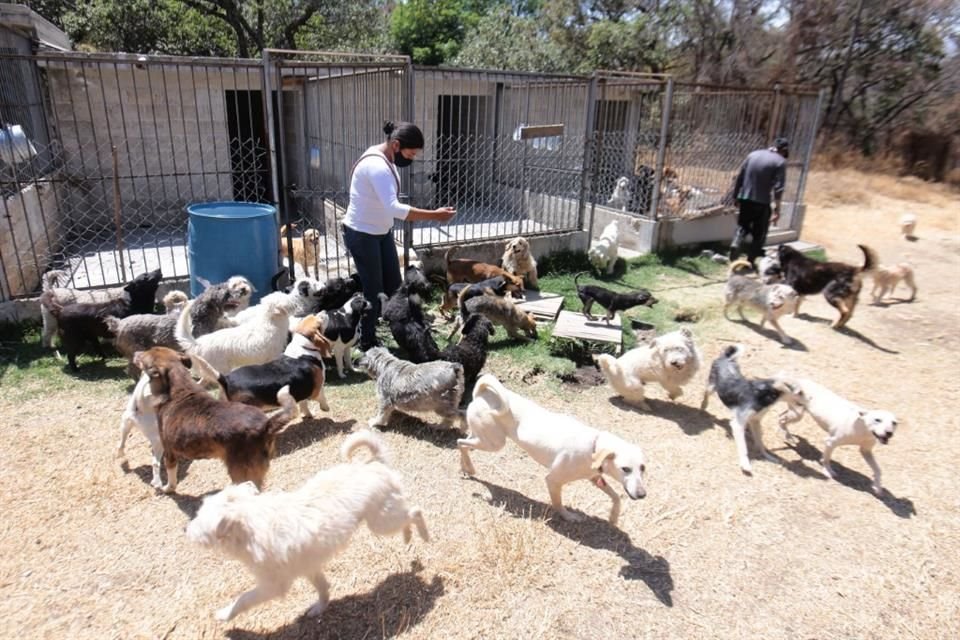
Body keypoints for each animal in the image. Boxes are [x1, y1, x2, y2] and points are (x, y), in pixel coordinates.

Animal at [132, 348, 296, 492]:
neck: (179, 387)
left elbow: (171, 479)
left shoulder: (169, 452)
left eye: (144, 356)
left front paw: (166, 489)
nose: (135, 353)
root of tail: (265, 425)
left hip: (240, 472)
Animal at [188, 430, 428, 620]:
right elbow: (323, 589)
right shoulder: (310, 568)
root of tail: (374, 464)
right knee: (407, 516)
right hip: (384, 519)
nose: (185, 530)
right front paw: (320, 608)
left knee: (416, 511)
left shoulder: (272, 585)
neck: (251, 525)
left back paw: (424, 536)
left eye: (200, 523)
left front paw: (224, 615)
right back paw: (407, 536)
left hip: (380, 523)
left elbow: (244, 599)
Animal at [458, 376, 644, 524]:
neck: (593, 446)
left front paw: (613, 517)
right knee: (460, 443)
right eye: (625, 469)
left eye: (643, 468)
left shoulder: (594, 477)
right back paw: (469, 468)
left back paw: (466, 468)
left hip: (482, 437)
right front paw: (567, 516)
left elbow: (616, 497)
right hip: (495, 443)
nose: (643, 495)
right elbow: (558, 503)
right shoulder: (553, 480)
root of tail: (482, 394)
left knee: (464, 443)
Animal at [696, 344, 804, 476]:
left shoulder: (755, 421)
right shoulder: (738, 424)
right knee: (705, 395)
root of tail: (726, 358)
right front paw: (745, 464)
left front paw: (768, 457)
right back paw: (703, 407)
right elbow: (743, 447)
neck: (764, 394)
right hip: (712, 387)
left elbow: (760, 443)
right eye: (801, 392)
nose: (810, 399)